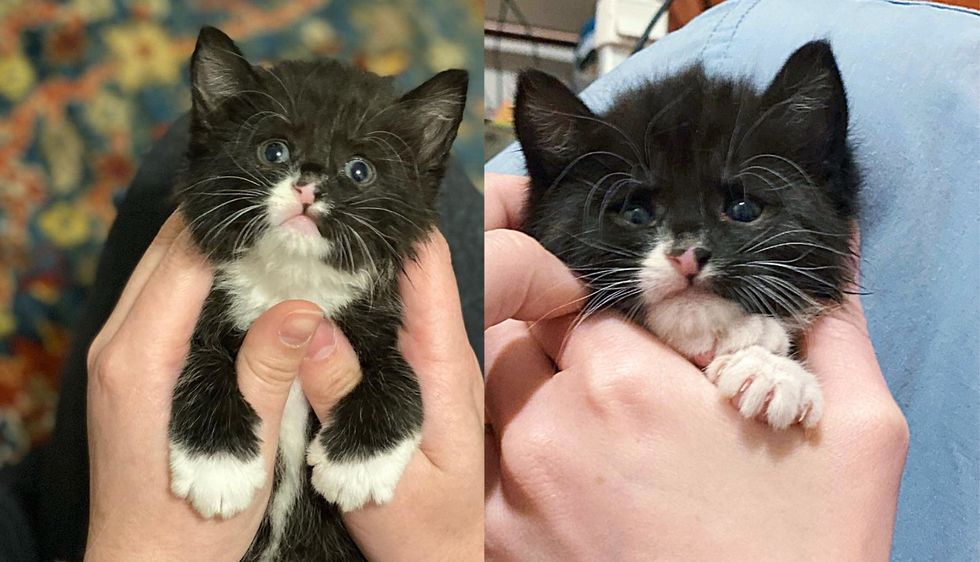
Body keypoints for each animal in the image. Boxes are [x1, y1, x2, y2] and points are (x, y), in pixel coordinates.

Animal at [167, 25, 468, 556]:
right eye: (274, 151)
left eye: (359, 170)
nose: (309, 184)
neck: (294, 284)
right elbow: (200, 356)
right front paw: (217, 464)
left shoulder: (377, 314)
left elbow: (400, 371)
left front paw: (358, 465)